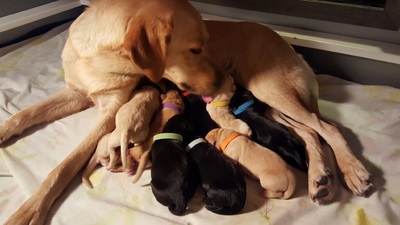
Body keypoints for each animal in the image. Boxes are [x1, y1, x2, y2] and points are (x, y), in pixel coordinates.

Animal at [0, 0, 222, 224]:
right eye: (195, 50)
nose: (221, 82)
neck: (101, 59)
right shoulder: (75, 93)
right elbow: (25, 114)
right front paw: (4, 129)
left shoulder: (110, 113)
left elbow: (66, 165)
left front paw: (33, 208)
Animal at [205, 20, 374, 204]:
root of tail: (288, 46)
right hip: (274, 105)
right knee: (309, 131)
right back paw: (318, 177)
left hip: (271, 90)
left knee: (328, 127)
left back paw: (351, 170)